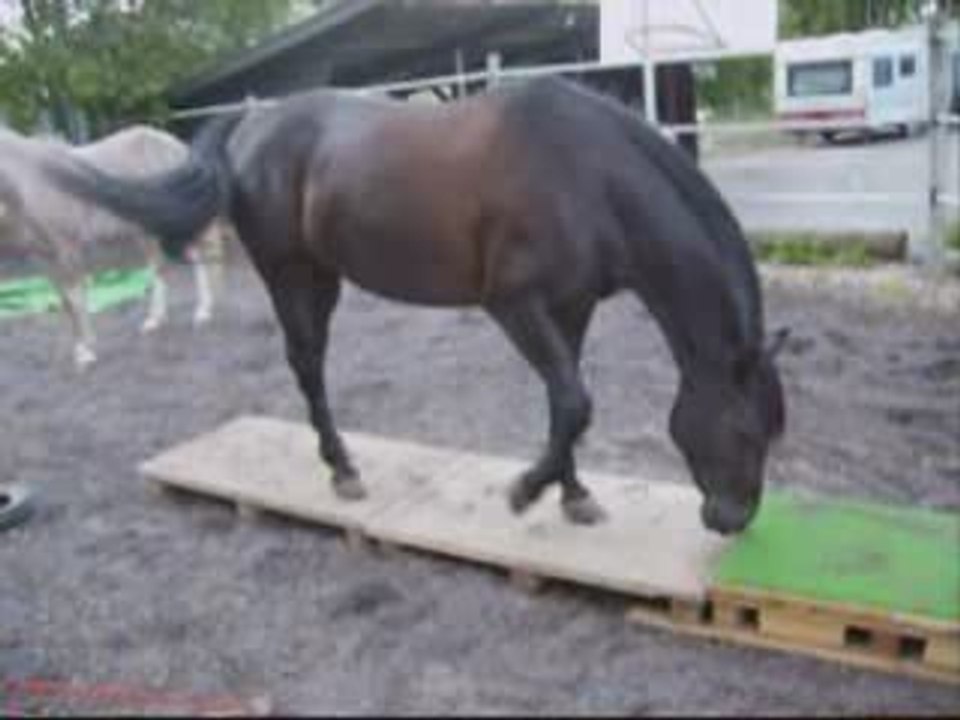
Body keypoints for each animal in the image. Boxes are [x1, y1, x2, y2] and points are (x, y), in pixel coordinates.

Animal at [0, 124, 234, 370]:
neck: (31, 183)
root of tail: (178, 146)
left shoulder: (67, 250)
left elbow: (76, 301)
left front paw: (86, 353)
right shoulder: (44, 259)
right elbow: (67, 304)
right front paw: (80, 350)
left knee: (197, 260)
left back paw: (203, 312)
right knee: (165, 266)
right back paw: (155, 320)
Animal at [43, 76, 790, 534]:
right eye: (744, 432)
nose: (731, 520)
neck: (590, 178)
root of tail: (255, 123)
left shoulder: (570, 307)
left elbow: (568, 403)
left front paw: (573, 496)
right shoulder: (514, 304)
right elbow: (576, 402)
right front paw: (524, 491)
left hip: (321, 275)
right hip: (292, 275)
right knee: (307, 364)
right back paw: (343, 471)